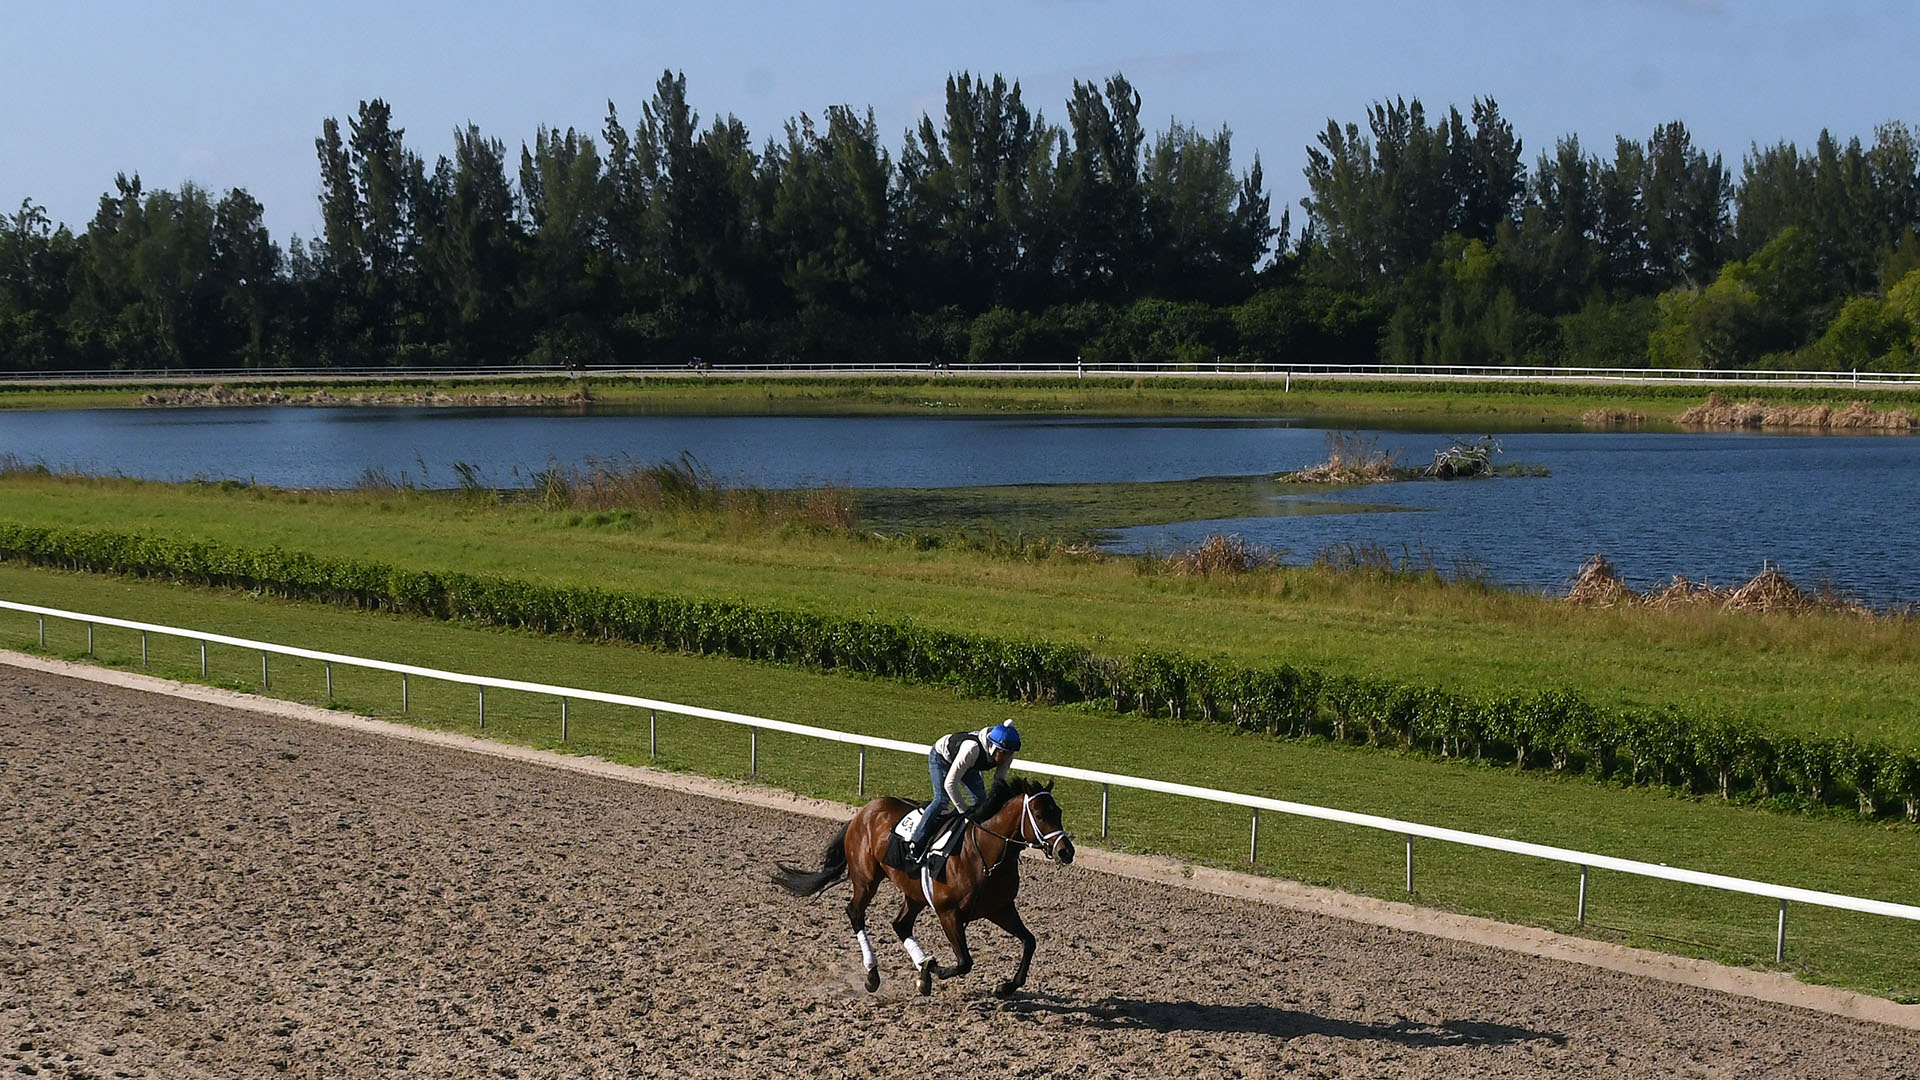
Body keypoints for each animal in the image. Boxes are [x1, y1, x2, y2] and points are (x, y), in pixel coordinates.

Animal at [779, 772, 1082, 991]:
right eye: (1040, 815)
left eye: (1059, 812)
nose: (1066, 851)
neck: (984, 855)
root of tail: (863, 811)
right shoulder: (948, 913)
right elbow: (964, 962)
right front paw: (932, 969)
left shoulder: (1001, 909)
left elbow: (1030, 941)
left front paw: (1006, 987)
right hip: (866, 879)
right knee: (855, 913)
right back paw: (873, 974)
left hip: (914, 893)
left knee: (900, 924)